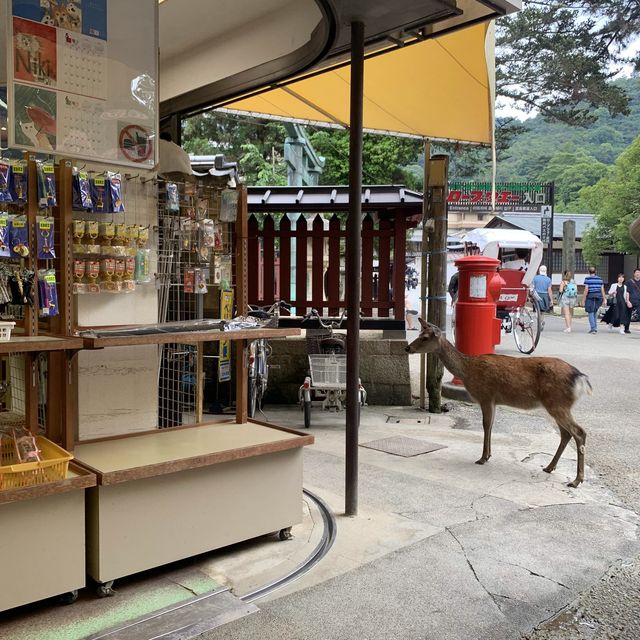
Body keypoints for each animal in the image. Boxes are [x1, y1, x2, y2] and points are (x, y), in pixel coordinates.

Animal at [408, 318, 592, 488]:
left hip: (557, 403)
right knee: (566, 433)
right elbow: (491, 425)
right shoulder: (494, 400)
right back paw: (549, 467)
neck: (467, 370)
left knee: (579, 432)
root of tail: (581, 378)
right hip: (557, 404)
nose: (407, 348)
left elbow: (485, 424)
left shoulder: (486, 396)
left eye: (424, 337)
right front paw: (488, 455)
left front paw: (482, 458)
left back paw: (576, 480)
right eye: (419, 333)